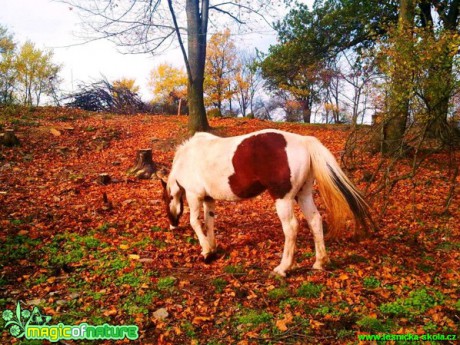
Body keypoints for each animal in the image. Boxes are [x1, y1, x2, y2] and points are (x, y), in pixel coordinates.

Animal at [160, 129, 372, 276]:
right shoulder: (208, 199)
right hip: (303, 195)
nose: (172, 225)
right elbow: (209, 223)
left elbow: (195, 222)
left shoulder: (194, 196)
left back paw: (283, 268)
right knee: (315, 221)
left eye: (166, 198)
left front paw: (205, 252)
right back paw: (319, 262)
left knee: (291, 227)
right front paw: (212, 249)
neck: (187, 158)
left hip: (283, 199)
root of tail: (303, 140)